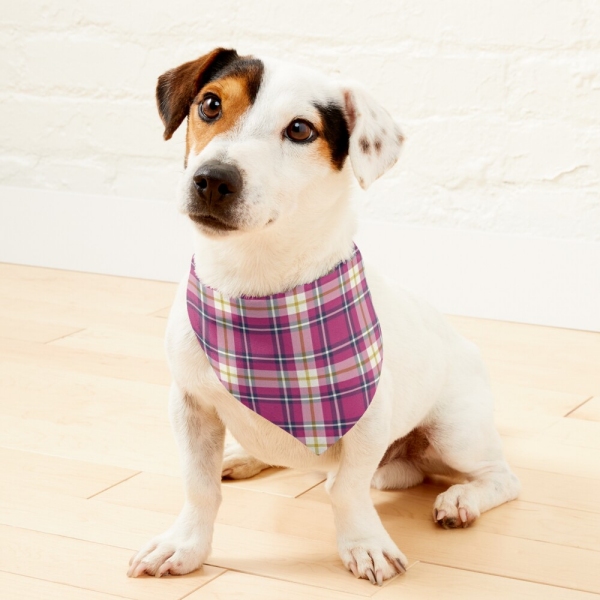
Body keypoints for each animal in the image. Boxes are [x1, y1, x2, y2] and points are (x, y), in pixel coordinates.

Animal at [127, 48, 520, 584]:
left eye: (299, 130)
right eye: (210, 104)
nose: (213, 179)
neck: (257, 286)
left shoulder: (368, 420)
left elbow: (347, 490)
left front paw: (365, 544)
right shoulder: (190, 405)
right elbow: (199, 486)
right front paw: (185, 545)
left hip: (456, 432)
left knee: (500, 477)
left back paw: (461, 499)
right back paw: (244, 456)